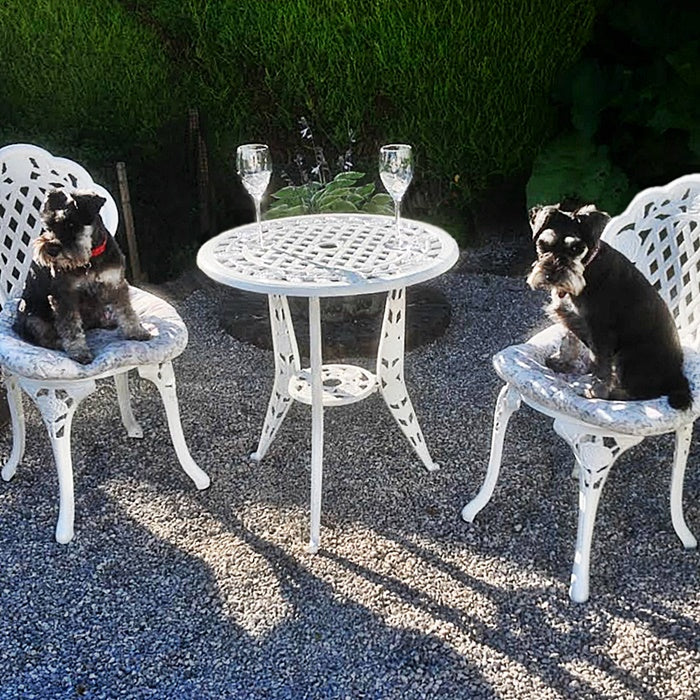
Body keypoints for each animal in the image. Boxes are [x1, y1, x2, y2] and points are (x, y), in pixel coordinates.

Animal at [14, 189, 150, 364]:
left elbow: (126, 311)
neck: (91, 259)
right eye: (49, 226)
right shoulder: (65, 296)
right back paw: (58, 342)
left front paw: (136, 332)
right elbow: (71, 326)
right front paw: (79, 352)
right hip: (33, 319)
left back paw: (107, 322)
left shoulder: (115, 284)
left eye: (71, 224)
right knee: (44, 336)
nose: (51, 249)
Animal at [528, 202, 692, 410]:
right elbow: (568, 340)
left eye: (576, 248)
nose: (551, 276)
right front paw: (560, 361)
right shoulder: (572, 318)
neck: (587, 268)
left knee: (641, 393)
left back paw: (611, 394)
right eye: (543, 244)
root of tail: (678, 376)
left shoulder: (600, 332)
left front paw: (595, 392)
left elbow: (601, 367)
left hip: (627, 357)